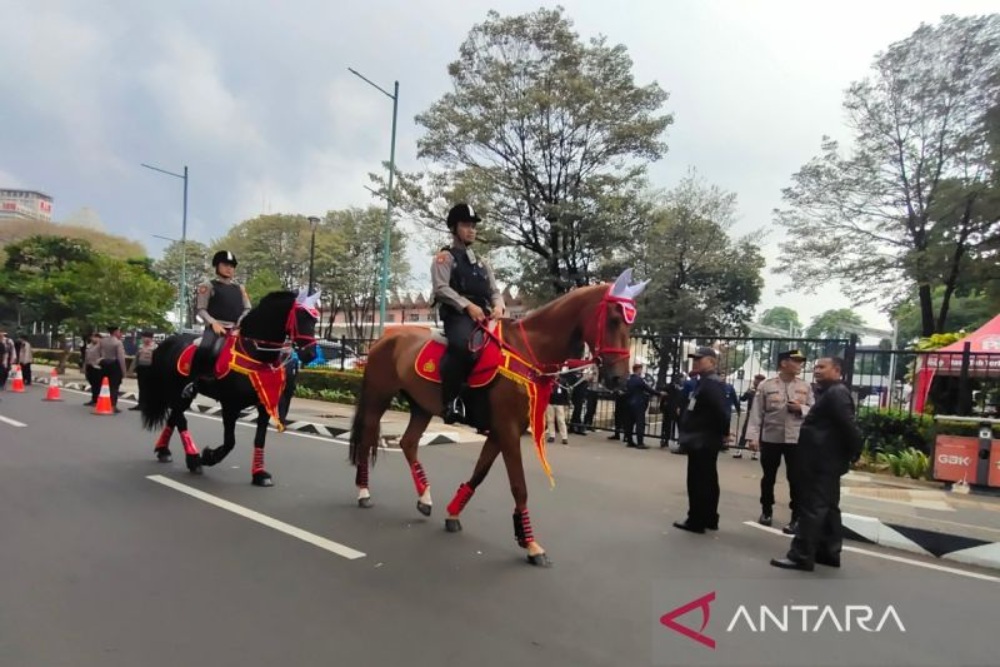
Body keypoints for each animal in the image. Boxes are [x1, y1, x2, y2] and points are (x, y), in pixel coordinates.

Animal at [141, 290, 318, 488]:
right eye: (300, 317)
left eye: (315, 320)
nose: (310, 354)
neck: (254, 353)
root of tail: (169, 342)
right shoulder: (230, 406)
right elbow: (230, 442)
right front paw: (208, 456)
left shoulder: (264, 405)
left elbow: (260, 439)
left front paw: (259, 474)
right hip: (176, 390)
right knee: (180, 420)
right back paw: (193, 459)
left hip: (185, 394)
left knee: (174, 417)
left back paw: (164, 451)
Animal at [350, 268, 648, 568]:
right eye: (613, 320)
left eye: (630, 325)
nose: (619, 379)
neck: (527, 352)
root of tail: (384, 338)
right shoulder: (508, 430)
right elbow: (519, 487)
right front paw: (531, 545)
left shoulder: (499, 432)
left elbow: (479, 474)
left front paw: (453, 513)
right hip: (378, 398)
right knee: (366, 440)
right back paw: (363, 493)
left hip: (421, 405)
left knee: (409, 443)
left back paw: (424, 498)